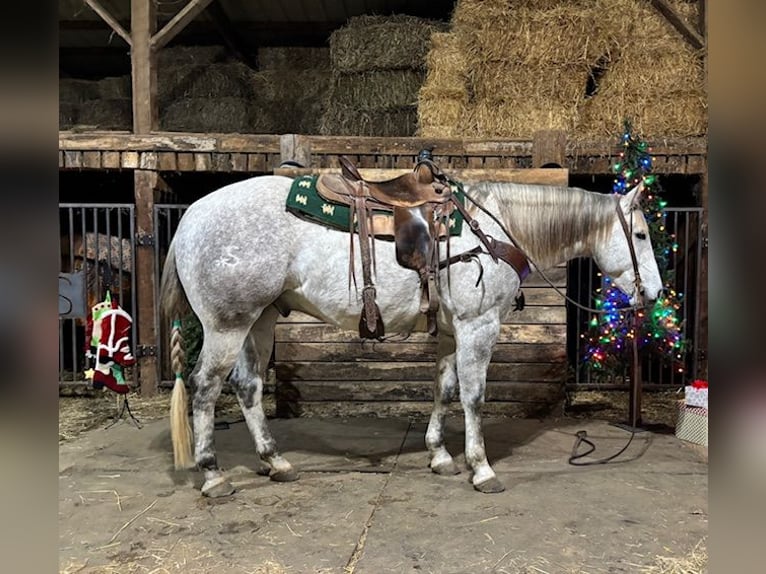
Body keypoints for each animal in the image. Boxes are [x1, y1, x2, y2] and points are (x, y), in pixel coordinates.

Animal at [159, 169, 664, 498]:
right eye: (640, 235)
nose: (655, 294)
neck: (494, 230)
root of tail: (191, 217)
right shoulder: (479, 325)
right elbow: (473, 396)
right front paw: (481, 469)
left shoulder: (451, 331)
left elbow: (444, 389)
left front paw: (440, 456)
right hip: (227, 325)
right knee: (205, 390)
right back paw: (213, 476)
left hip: (258, 321)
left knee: (247, 387)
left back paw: (275, 462)